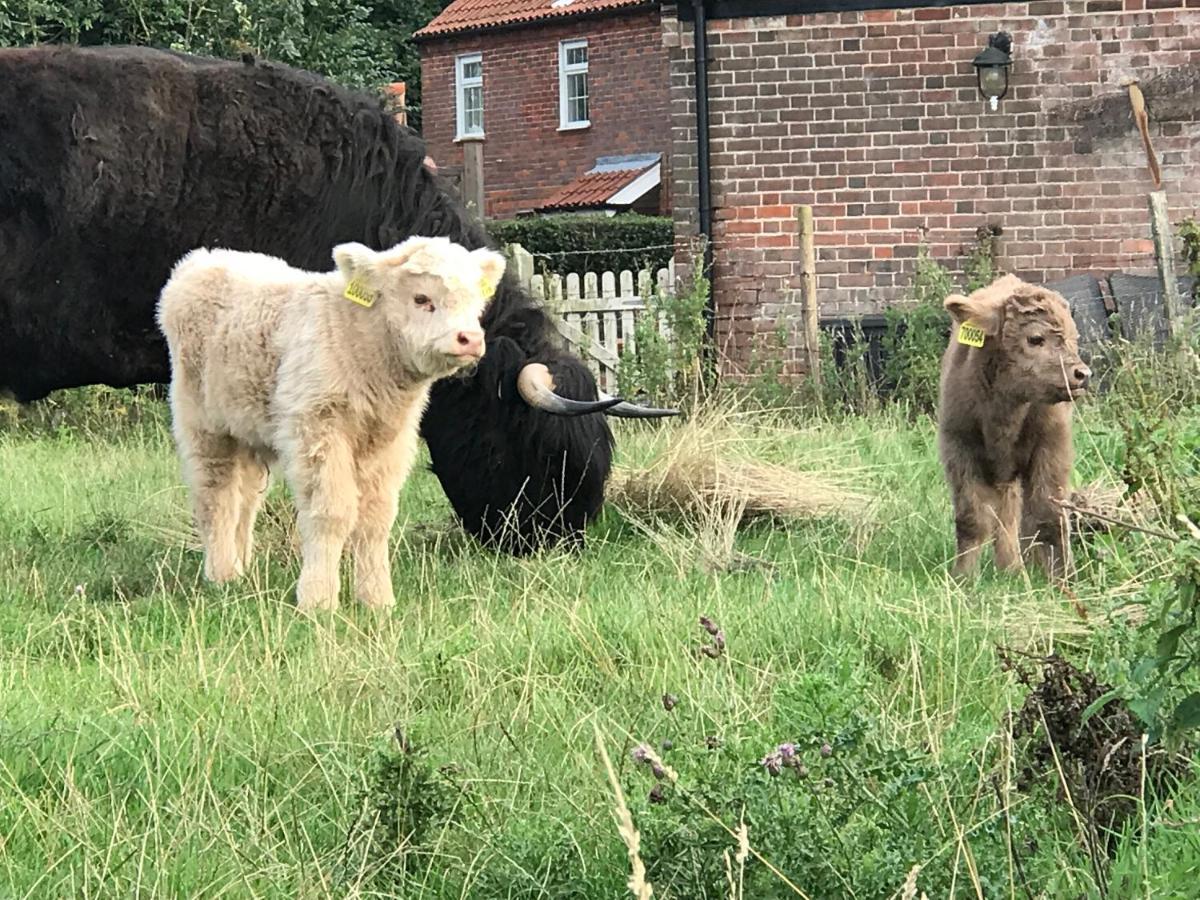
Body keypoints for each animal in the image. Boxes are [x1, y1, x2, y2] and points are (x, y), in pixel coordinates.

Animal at [157, 236, 504, 614]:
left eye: (476, 300)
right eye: (421, 298)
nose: (469, 339)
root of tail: (202, 260)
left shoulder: (390, 441)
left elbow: (376, 518)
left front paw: (377, 600)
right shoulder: (319, 430)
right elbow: (331, 513)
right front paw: (319, 600)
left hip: (248, 427)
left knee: (245, 497)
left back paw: (242, 569)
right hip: (203, 422)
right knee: (215, 493)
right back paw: (222, 575)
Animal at [936, 274, 1099, 580]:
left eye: (1074, 338)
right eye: (1035, 338)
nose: (1082, 374)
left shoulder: (1052, 449)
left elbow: (1047, 517)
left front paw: (1061, 577)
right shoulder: (959, 448)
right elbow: (972, 518)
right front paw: (963, 576)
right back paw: (1010, 567)